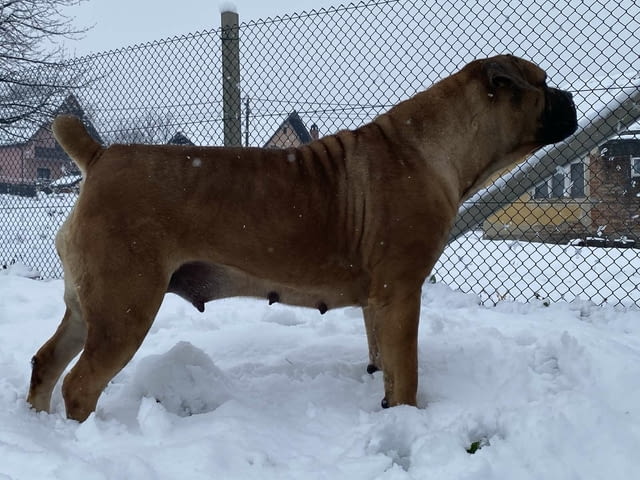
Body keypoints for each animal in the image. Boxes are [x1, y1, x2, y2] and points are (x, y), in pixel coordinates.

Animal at [26, 55, 576, 420]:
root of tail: (101, 155)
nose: (570, 97)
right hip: (125, 307)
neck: (437, 144)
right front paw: (406, 414)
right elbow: (407, 371)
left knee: (46, 361)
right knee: (80, 383)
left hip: (88, 307)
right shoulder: (401, 292)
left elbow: (384, 361)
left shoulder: (378, 301)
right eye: (543, 84)